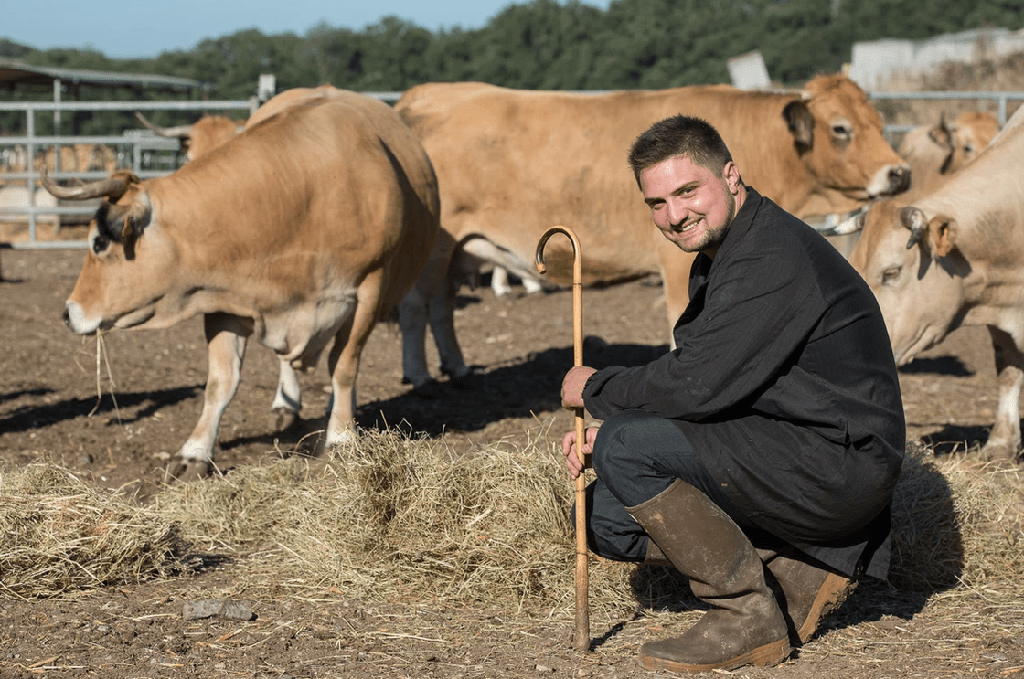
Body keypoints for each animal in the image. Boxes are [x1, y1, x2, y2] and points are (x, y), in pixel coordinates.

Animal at [41, 91, 440, 483]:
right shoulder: (226, 301)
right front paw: (195, 451)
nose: (68, 313)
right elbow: (221, 382)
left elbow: (344, 367)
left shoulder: (370, 288)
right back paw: (285, 404)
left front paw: (341, 436)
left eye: (97, 243)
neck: (298, 198)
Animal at [393, 76, 913, 378]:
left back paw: (457, 366)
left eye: (878, 120)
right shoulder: (675, 261)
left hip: (457, 252)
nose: (900, 173)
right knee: (417, 308)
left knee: (441, 309)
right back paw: (419, 374)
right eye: (841, 127)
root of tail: (425, 97)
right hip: (432, 250)